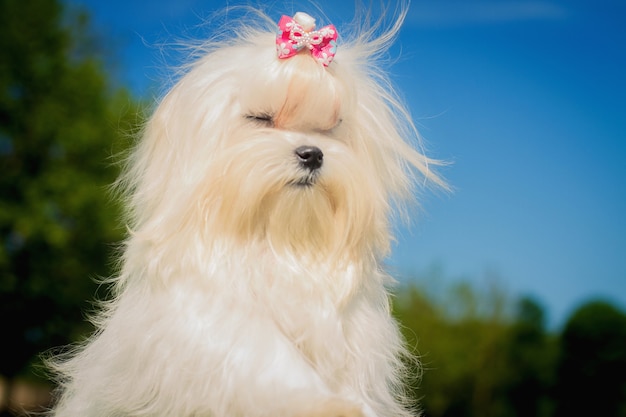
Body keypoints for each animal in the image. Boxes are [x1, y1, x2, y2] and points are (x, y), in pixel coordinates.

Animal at [48, 7, 444, 416]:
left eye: (331, 127)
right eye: (261, 118)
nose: (312, 154)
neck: (277, 241)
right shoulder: (211, 326)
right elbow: (264, 356)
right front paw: (324, 403)